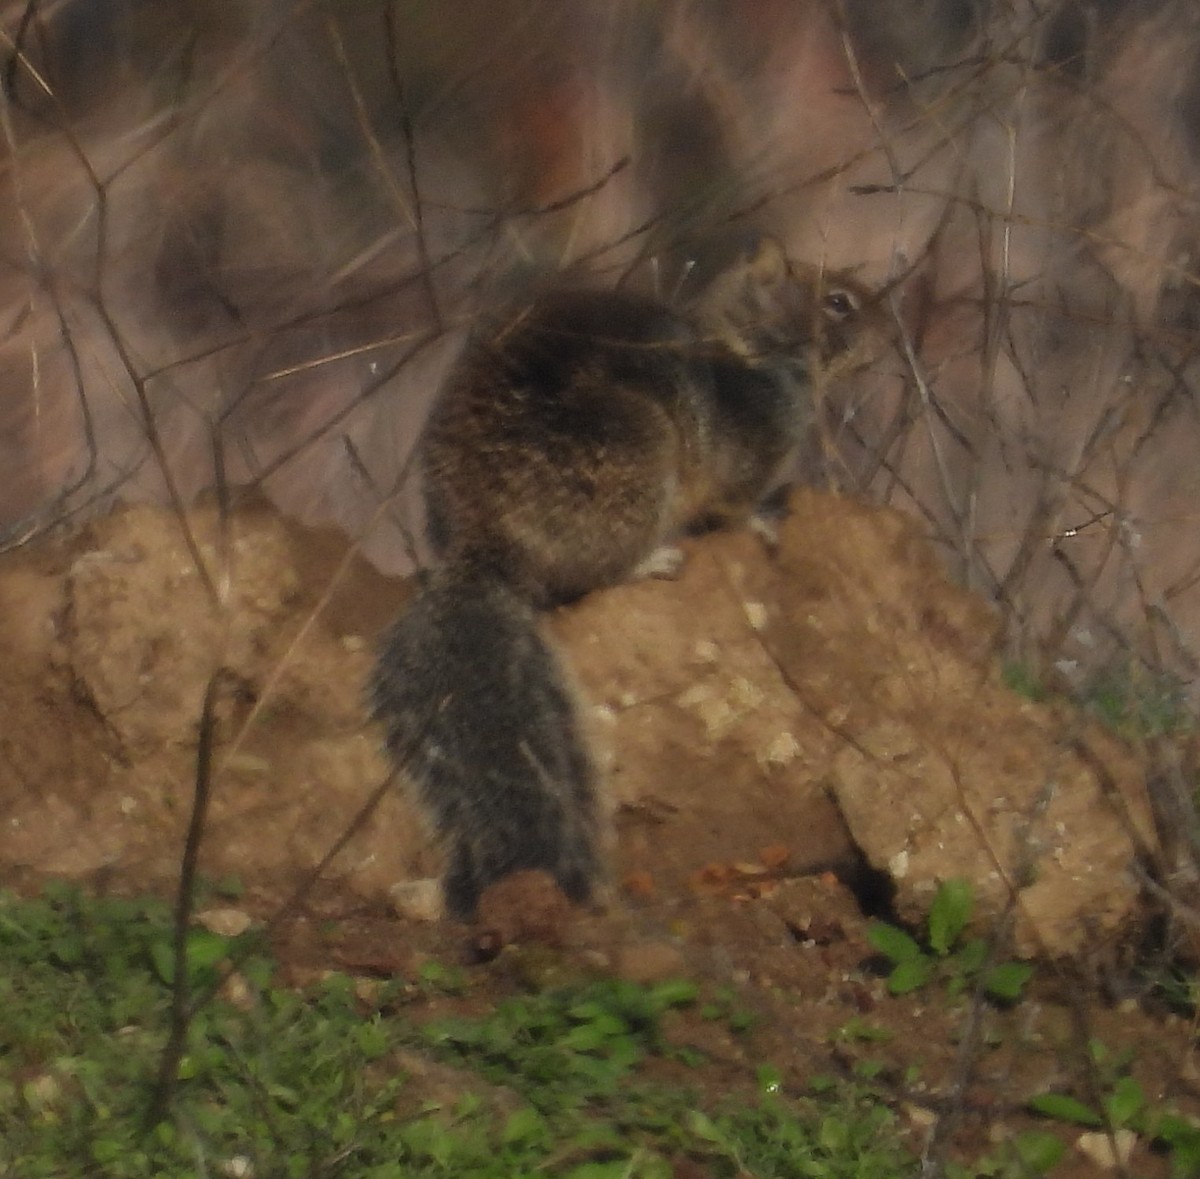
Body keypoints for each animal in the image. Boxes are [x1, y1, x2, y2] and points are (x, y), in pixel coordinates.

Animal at [370, 235, 881, 920]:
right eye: (838, 301)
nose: (885, 335)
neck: (746, 343)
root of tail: (485, 547)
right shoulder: (748, 452)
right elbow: (735, 504)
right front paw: (766, 522)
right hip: (636, 456)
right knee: (595, 575)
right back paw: (655, 560)